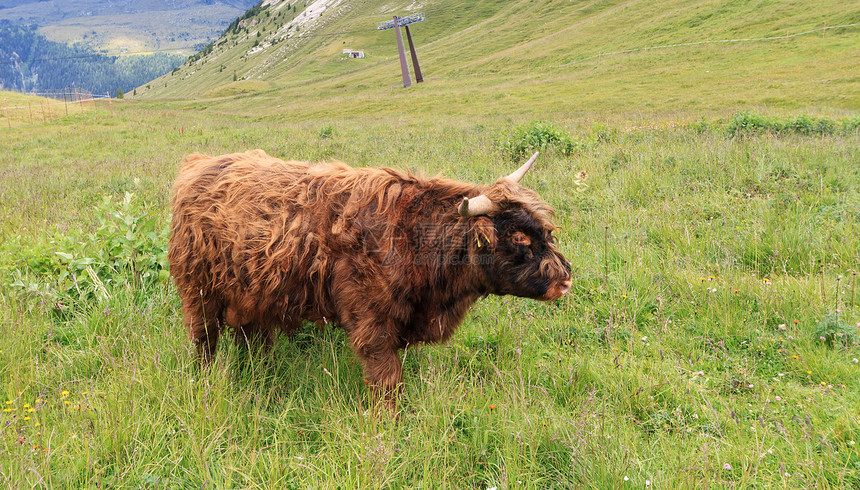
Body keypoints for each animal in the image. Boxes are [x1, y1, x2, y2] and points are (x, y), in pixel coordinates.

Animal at [168, 149, 572, 410]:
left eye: (545, 230)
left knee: (251, 338)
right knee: (204, 338)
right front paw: (390, 421)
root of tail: (199, 163)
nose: (566, 280)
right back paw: (203, 380)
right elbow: (387, 378)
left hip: (252, 292)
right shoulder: (372, 321)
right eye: (518, 238)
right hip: (199, 290)